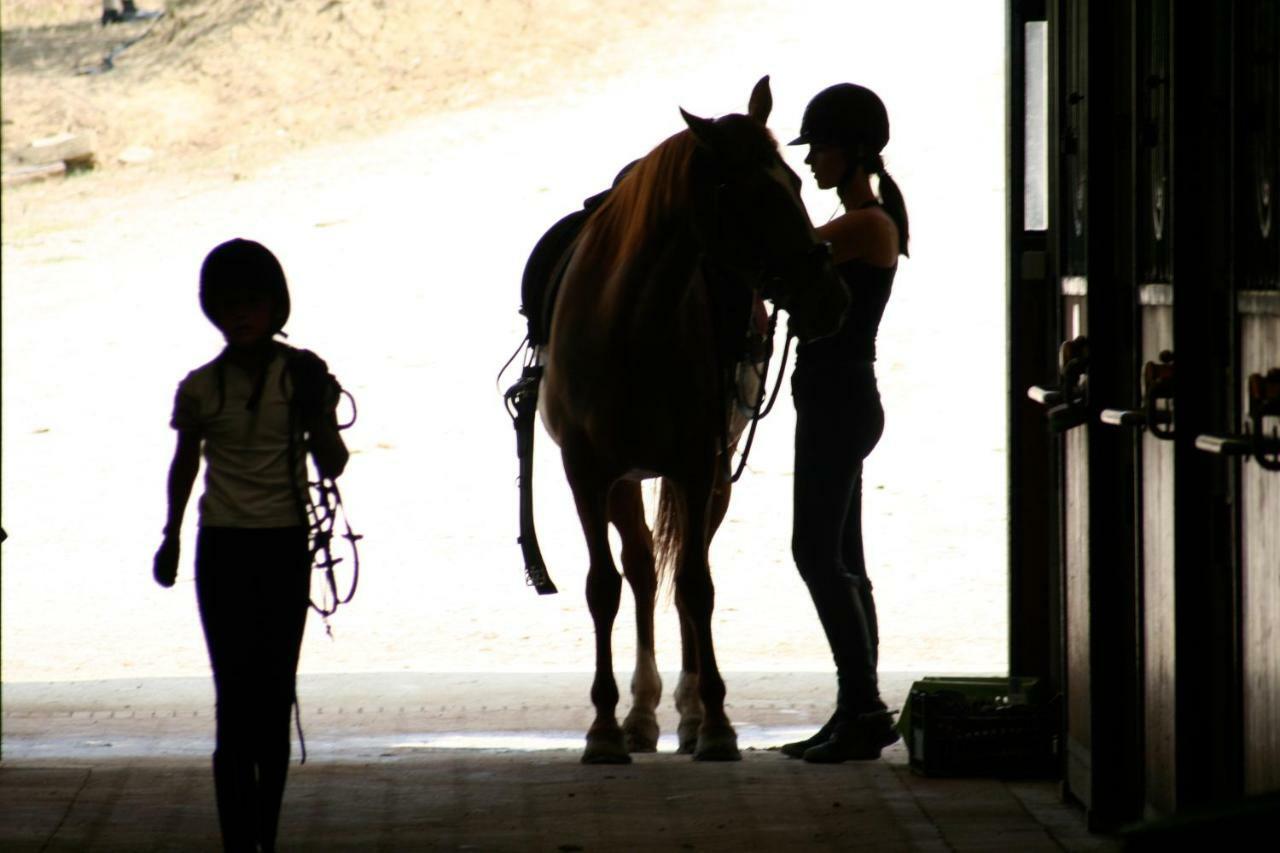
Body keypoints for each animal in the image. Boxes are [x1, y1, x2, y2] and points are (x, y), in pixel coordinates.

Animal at [535, 76, 844, 758]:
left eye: (797, 181)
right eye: (747, 193)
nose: (830, 297)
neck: (629, 323)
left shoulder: (698, 466)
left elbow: (698, 587)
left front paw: (718, 724)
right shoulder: (588, 472)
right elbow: (605, 587)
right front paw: (604, 729)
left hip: (710, 476)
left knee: (680, 576)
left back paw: (689, 712)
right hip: (627, 481)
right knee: (644, 572)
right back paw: (640, 714)